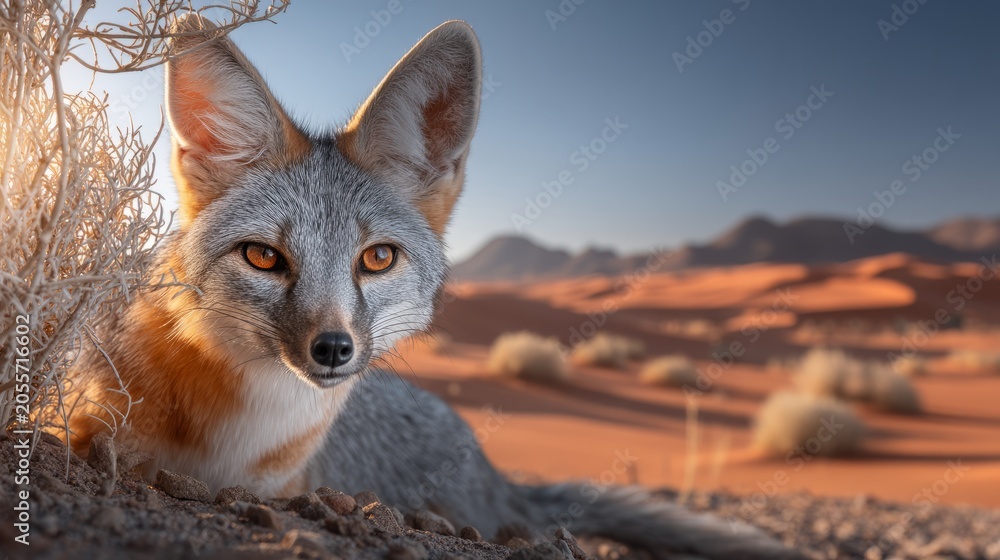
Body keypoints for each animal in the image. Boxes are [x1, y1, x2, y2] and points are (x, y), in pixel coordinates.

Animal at [65, 15, 802, 560]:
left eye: (377, 259)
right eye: (263, 257)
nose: (333, 349)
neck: (236, 430)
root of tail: (495, 471)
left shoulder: (273, 485)